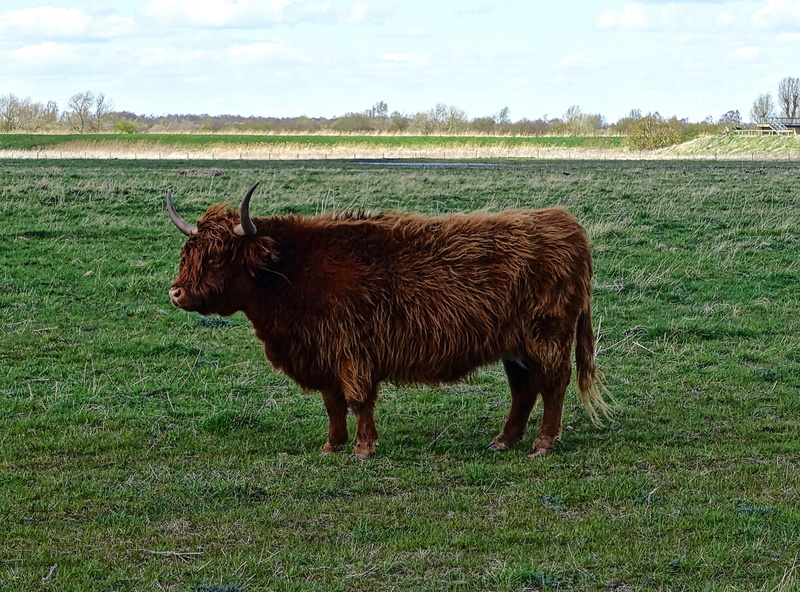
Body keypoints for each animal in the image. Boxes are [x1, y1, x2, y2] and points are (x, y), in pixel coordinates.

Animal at [167, 182, 610, 459]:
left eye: (217, 257)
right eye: (188, 252)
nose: (176, 293)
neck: (291, 270)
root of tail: (566, 224)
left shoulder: (351, 350)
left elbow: (358, 400)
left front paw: (363, 448)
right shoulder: (322, 354)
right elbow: (333, 404)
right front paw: (332, 446)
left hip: (547, 336)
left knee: (553, 384)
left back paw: (543, 443)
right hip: (515, 344)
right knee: (523, 389)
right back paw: (503, 441)